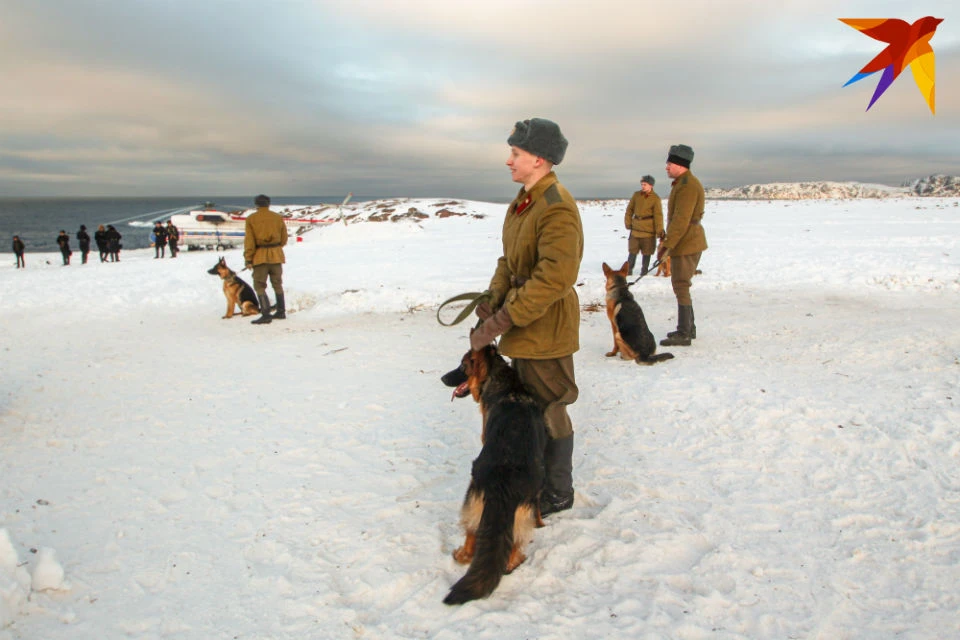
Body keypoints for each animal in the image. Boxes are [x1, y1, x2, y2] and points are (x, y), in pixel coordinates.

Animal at [442, 344, 548, 604]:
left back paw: (462, 554)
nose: (443, 379)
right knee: (514, 551)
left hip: (472, 494)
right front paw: (542, 522)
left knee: (472, 534)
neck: (507, 385)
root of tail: (504, 483)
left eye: (462, 366)